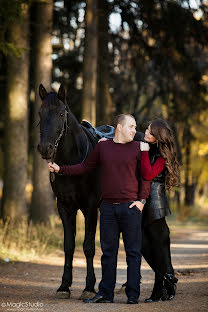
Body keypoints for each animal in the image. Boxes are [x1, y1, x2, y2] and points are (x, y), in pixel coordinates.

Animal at [37, 84, 112, 298]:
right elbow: (69, 246)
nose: (45, 148)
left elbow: (88, 247)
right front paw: (64, 286)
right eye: (40, 113)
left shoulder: (90, 207)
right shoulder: (65, 207)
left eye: (61, 113)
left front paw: (89, 287)